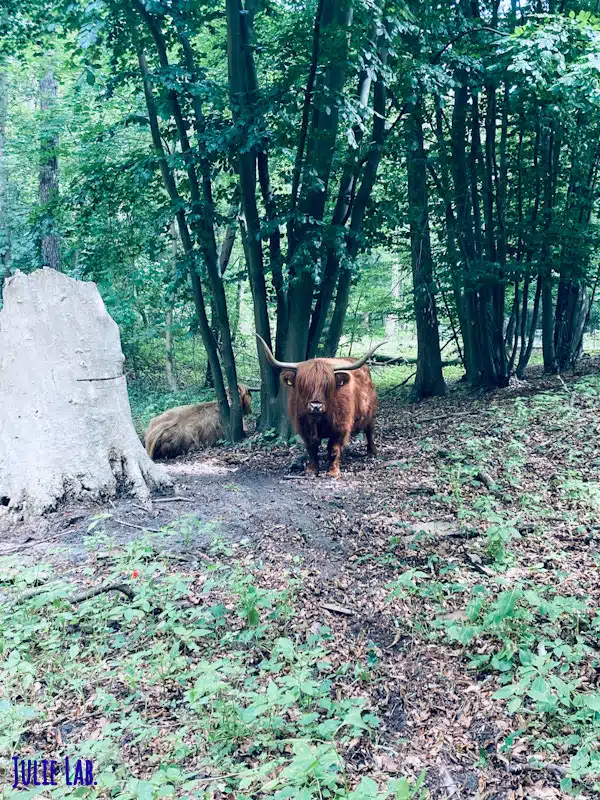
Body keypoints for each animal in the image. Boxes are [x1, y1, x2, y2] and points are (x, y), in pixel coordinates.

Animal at [256, 335, 385, 478]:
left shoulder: (341, 426)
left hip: (371, 413)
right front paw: (312, 470)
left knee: (369, 431)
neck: (320, 418)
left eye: (327, 385)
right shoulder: (304, 426)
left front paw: (333, 472)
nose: (315, 406)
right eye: (304, 385)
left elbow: (335, 448)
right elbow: (312, 447)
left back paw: (372, 451)